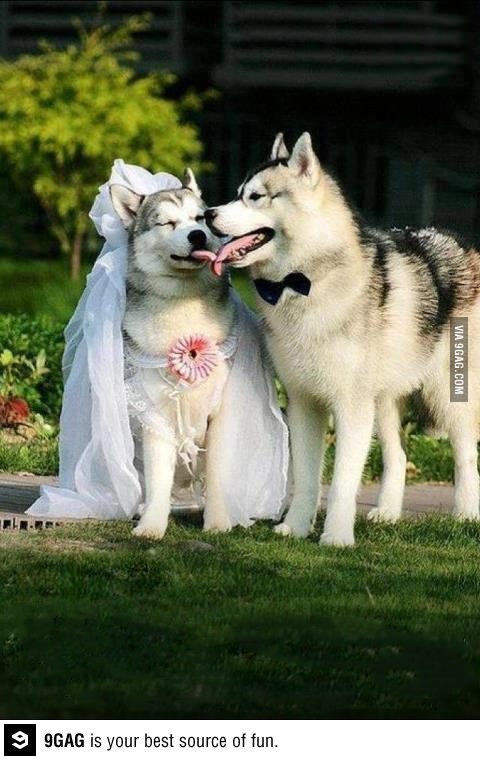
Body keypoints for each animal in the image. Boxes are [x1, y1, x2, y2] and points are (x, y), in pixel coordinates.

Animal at [110, 171, 234, 540]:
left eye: (200, 218)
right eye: (167, 222)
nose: (197, 235)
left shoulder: (221, 413)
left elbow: (218, 475)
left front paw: (218, 522)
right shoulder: (156, 416)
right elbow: (158, 481)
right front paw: (152, 525)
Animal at [206, 132, 480, 548]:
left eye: (255, 197)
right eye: (237, 194)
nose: (207, 213)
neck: (303, 282)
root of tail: (462, 243)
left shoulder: (350, 408)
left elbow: (340, 484)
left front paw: (335, 537)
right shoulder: (304, 403)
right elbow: (307, 479)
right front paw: (296, 528)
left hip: (447, 397)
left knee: (465, 457)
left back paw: (466, 515)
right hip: (383, 403)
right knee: (398, 457)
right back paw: (387, 513)